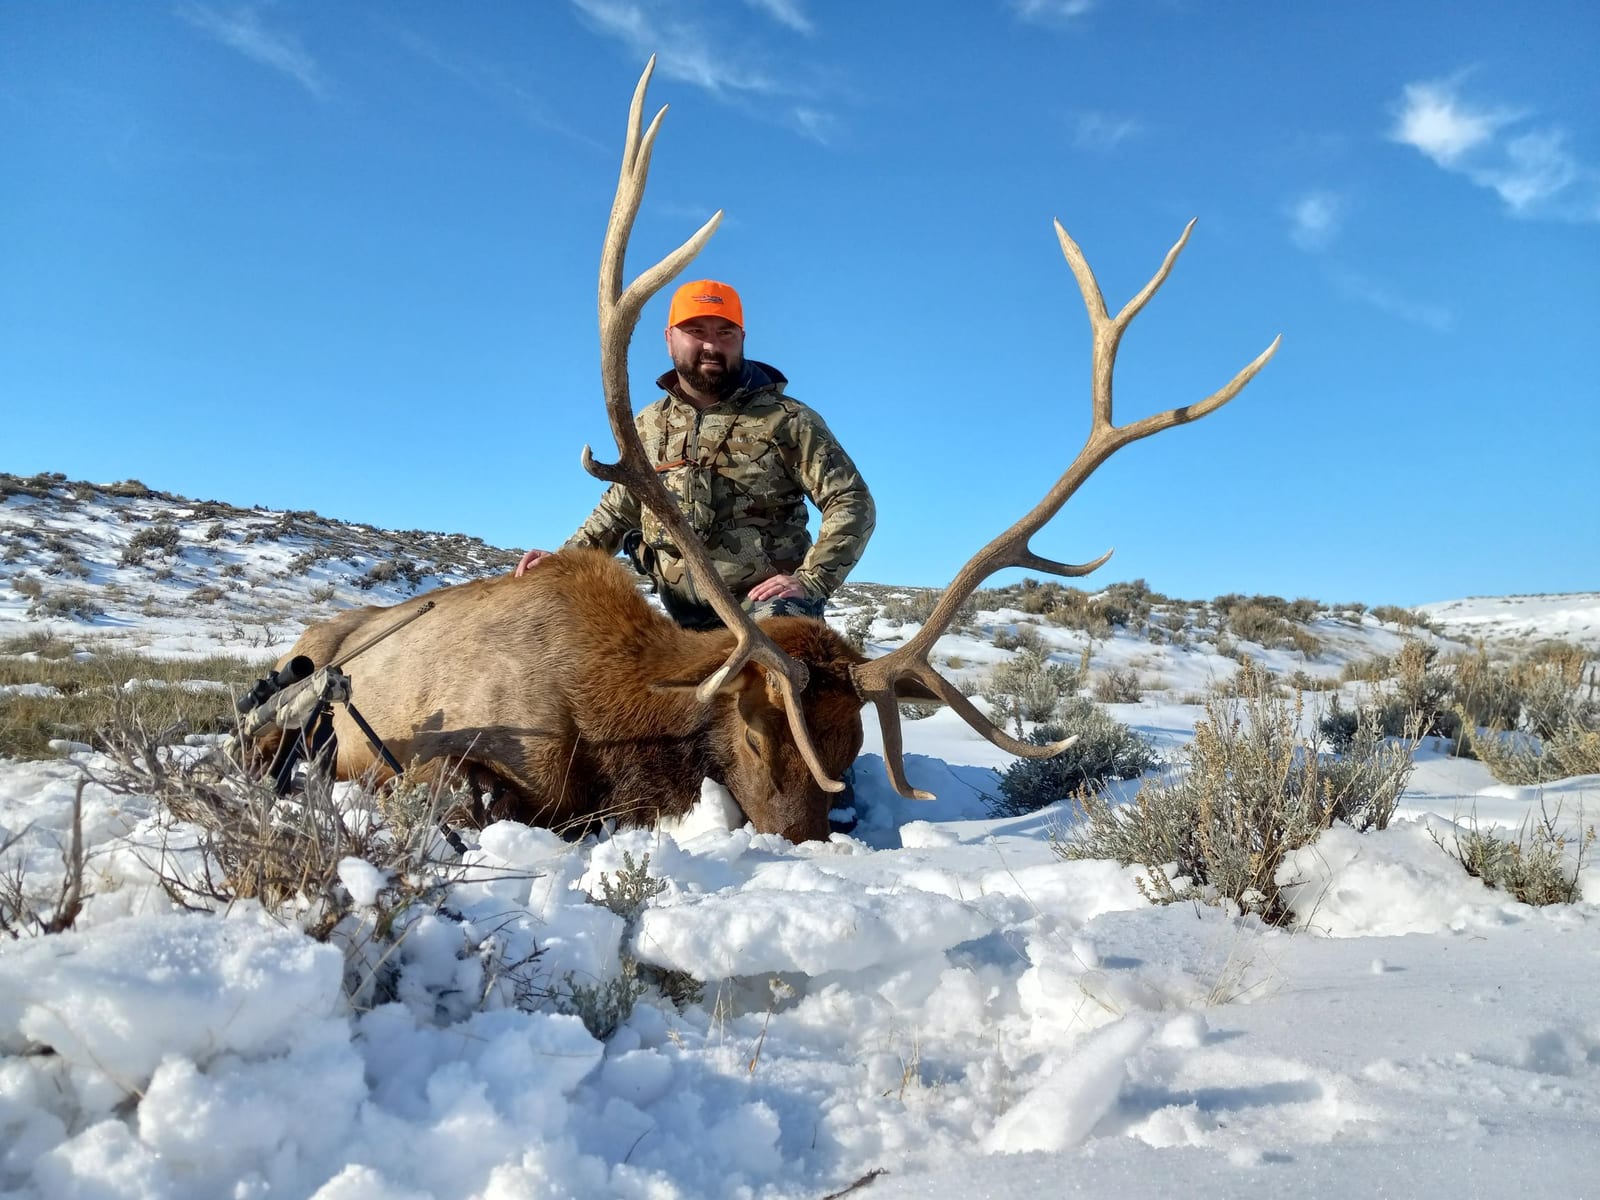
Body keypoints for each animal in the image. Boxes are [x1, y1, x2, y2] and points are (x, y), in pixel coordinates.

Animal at [260, 57, 1279, 843]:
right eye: (756, 736)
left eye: (852, 749)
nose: (808, 840)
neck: (612, 710)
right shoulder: (439, 754)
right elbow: (462, 794)